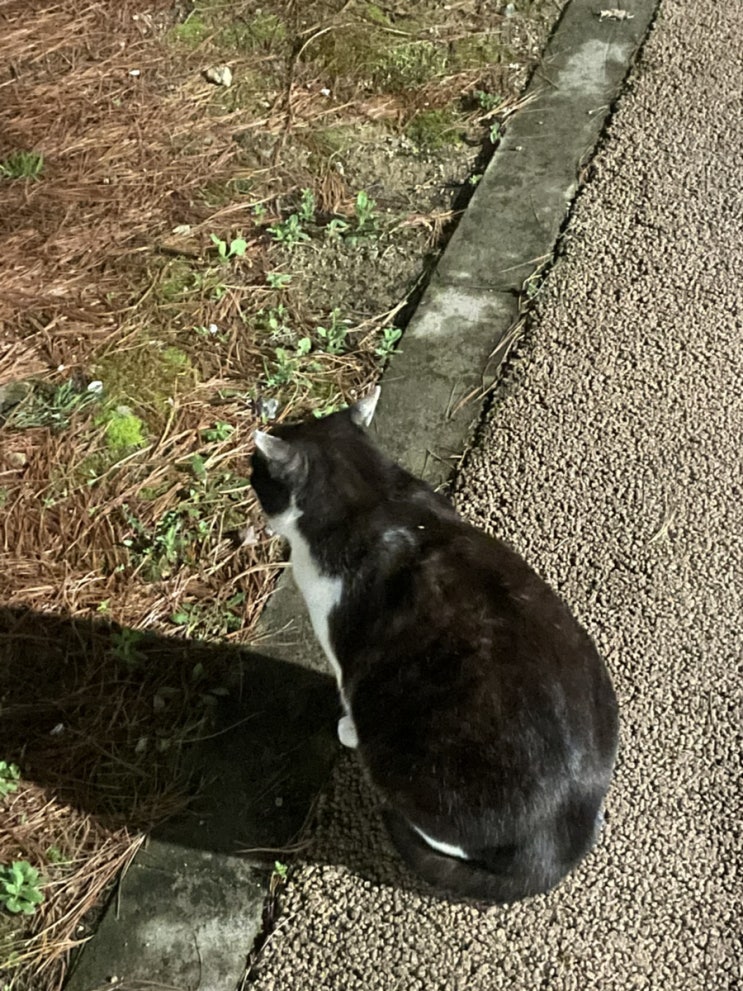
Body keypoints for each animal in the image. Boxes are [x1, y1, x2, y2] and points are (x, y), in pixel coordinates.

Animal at [250, 387, 619, 903]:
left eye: (257, 474)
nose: (249, 479)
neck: (373, 497)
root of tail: (557, 848)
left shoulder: (346, 658)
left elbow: (348, 695)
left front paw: (346, 728)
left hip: (408, 770)